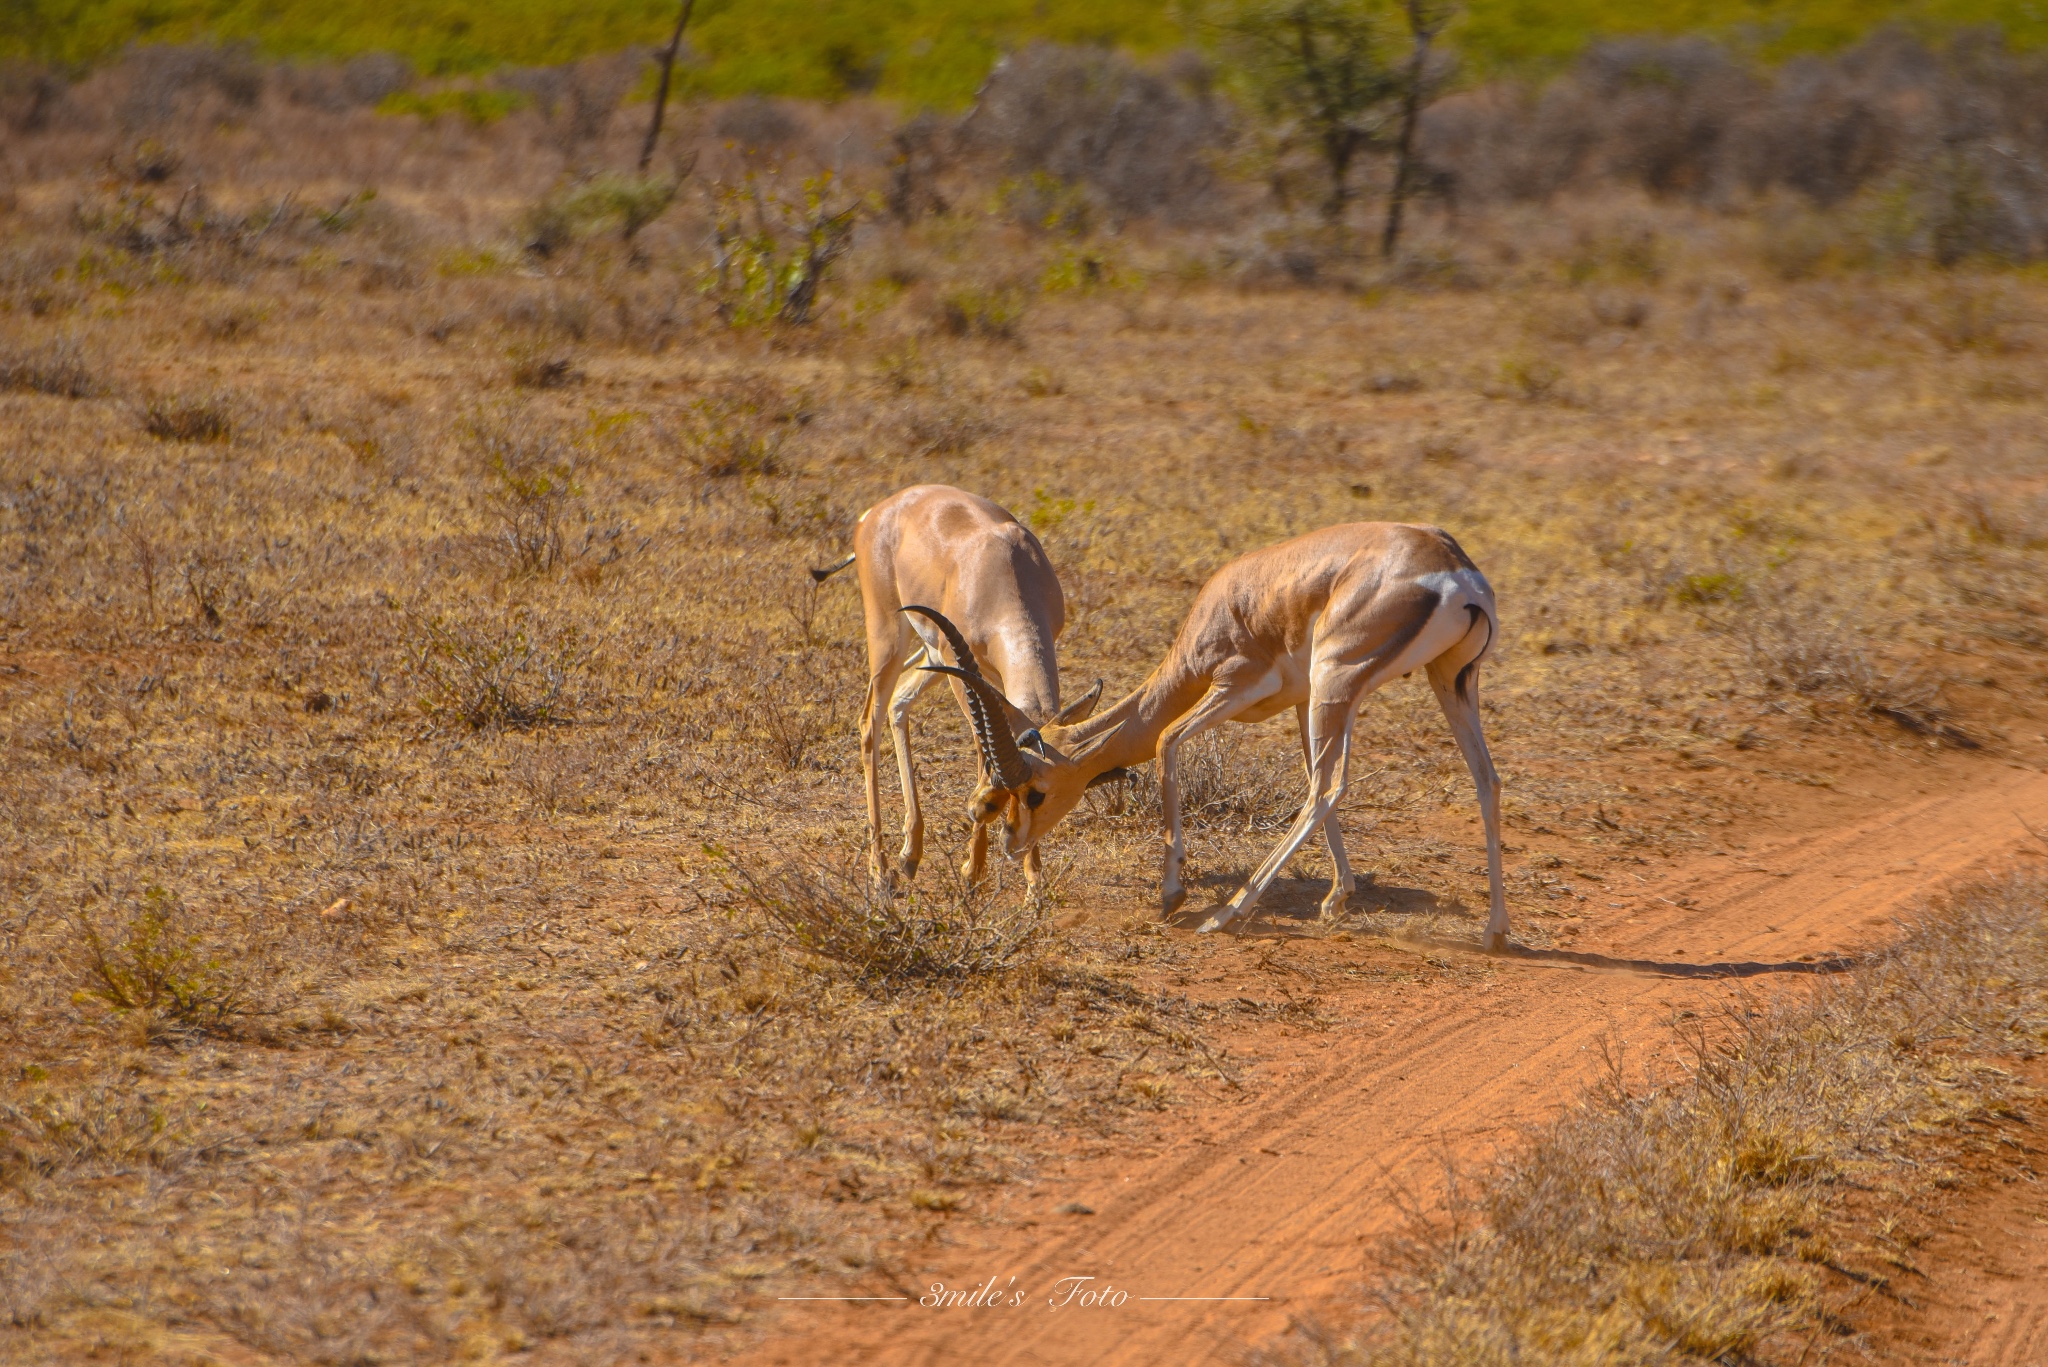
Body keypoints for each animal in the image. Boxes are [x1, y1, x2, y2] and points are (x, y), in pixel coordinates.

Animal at [811, 485, 1114, 893]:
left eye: (1041, 794)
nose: (980, 808)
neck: (1002, 570)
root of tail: (878, 511)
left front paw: (1033, 883)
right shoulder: (963, 673)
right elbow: (979, 743)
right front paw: (974, 871)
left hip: (931, 655)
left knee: (899, 701)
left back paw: (910, 856)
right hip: (891, 636)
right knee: (869, 721)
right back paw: (880, 870)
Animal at [921, 524, 1515, 950]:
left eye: (1036, 792)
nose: (1011, 842)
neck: (1220, 608)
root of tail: (1453, 567)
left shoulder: (1236, 684)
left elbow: (1166, 740)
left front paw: (1172, 895)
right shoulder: (1300, 700)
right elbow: (1308, 774)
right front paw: (1337, 900)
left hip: (1340, 680)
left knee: (1327, 789)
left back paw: (1226, 914)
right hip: (1439, 681)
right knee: (1484, 779)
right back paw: (1495, 931)